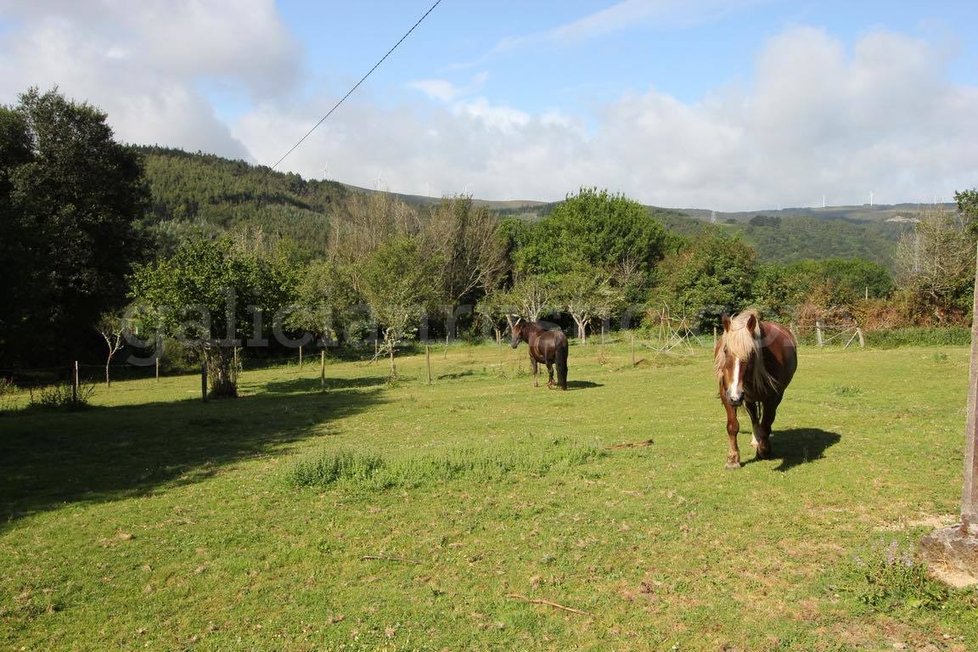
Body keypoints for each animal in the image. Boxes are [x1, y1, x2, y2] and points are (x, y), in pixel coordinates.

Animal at [712, 310, 796, 468]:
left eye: (751, 353)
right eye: (725, 351)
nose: (735, 396)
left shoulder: (773, 397)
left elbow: (767, 424)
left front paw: (764, 450)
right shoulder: (727, 394)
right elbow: (732, 426)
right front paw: (733, 459)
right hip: (748, 398)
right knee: (754, 418)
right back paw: (755, 440)